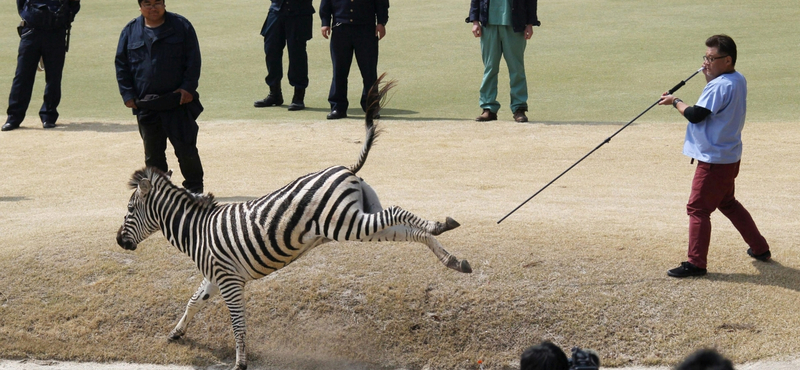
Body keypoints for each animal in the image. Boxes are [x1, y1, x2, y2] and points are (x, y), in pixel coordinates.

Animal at [115, 76, 472, 370]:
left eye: (130, 208)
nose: (119, 240)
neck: (196, 230)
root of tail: (346, 168)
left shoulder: (229, 281)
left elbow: (238, 323)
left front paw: (240, 363)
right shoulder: (216, 277)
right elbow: (193, 301)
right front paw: (177, 333)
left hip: (346, 222)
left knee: (399, 212)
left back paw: (442, 226)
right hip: (362, 220)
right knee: (411, 230)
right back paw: (453, 258)